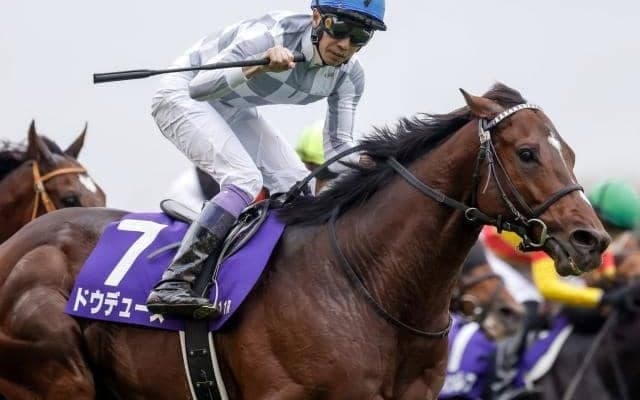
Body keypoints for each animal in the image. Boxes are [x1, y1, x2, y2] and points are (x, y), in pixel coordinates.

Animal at [0, 84, 609, 399]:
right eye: (527, 153)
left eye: (570, 152)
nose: (591, 239)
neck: (367, 283)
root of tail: (16, 247)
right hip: (56, 376)